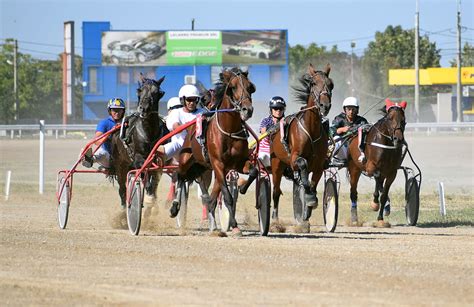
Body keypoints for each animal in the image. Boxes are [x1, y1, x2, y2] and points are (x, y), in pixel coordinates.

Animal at [110, 76, 168, 208]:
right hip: (120, 164)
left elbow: (154, 184)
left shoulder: (158, 161)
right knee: (122, 189)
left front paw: (151, 201)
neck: (149, 133)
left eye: (157, 92)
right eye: (139, 90)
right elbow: (144, 176)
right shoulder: (138, 158)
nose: (143, 108)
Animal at [176, 68, 256, 235]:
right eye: (233, 87)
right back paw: (174, 207)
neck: (229, 130)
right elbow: (227, 196)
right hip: (187, 159)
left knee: (211, 198)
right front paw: (234, 225)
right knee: (180, 175)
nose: (248, 110)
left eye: (250, 87)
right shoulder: (218, 163)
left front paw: (242, 187)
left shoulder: (238, 163)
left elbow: (254, 171)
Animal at [270, 63, 334, 226]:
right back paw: (274, 218)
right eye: (313, 83)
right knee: (276, 191)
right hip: (276, 164)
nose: (325, 105)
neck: (311, 129)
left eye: (331, 84)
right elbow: (303, 166)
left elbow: (312, 184)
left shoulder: (319, 165)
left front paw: (307, 211)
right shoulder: (294, 159)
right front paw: (309, 197)